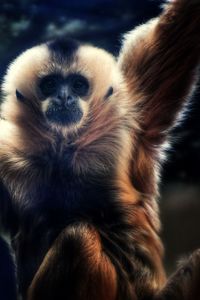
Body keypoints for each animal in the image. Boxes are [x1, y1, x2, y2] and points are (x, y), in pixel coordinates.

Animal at [0, 0, 200, 298]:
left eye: (78, 85)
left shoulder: (130, 119)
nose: (64, 97)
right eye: (50, 84)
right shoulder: (7, 152)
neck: (63, 149)